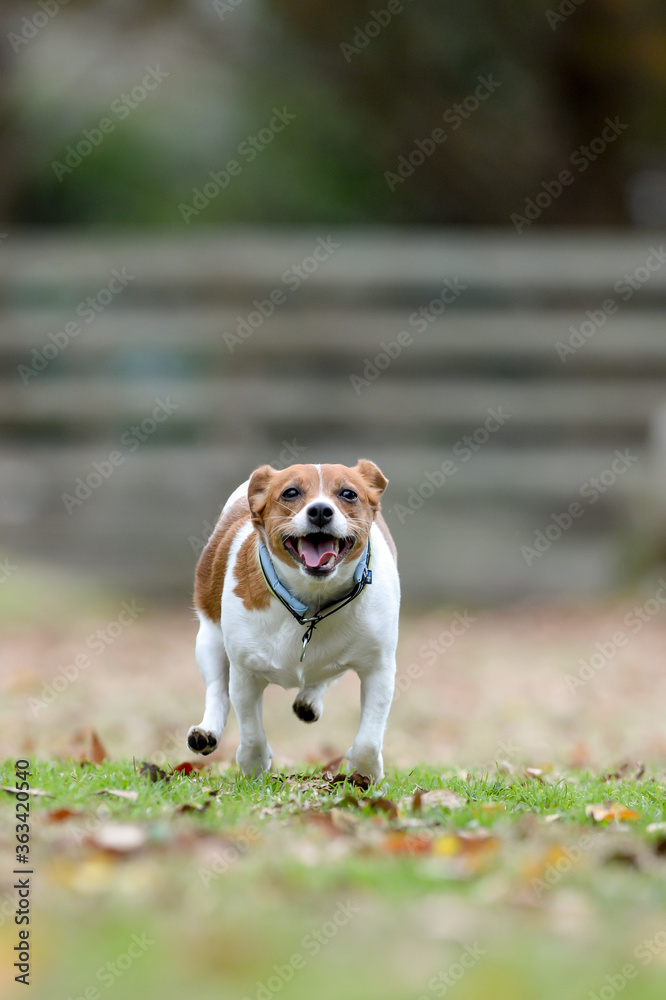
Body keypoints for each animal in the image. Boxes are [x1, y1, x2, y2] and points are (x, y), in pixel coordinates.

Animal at [187, 460, 400, 780]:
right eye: (290, 492)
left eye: (349, 493)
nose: (320, 510)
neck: (311, 602)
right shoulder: (245, 671)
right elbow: (250, 727)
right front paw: (253, 763)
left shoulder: (379, 667)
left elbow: (368, 739)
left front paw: (364, 772)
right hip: (209, 640)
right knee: (217, 690)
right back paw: (207, 731)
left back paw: (309, 699)